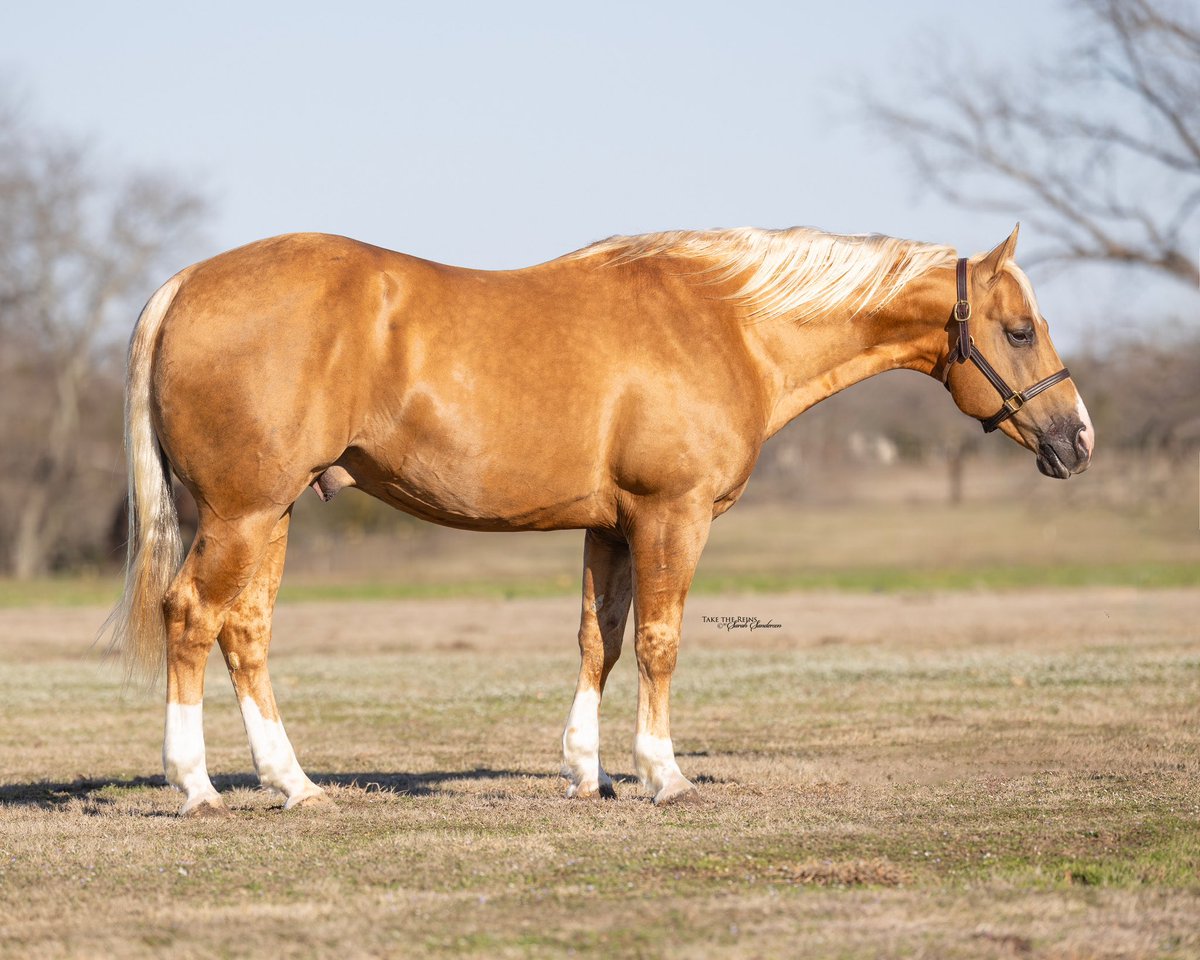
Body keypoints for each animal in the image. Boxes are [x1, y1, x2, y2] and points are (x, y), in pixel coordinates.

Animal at [102, 223, 1093, 816]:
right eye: (1018, 331)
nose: (1077, 439)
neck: (726, 325)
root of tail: (186, 284)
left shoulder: (611, 526)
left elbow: (598, 640)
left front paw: (590, 771)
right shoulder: (670, 517)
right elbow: (658, 641)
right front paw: (664, 773)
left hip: (268, 516)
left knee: (246, 633)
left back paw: (296, 785)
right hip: (241, 514)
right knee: (192, 618)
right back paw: (196, 785)